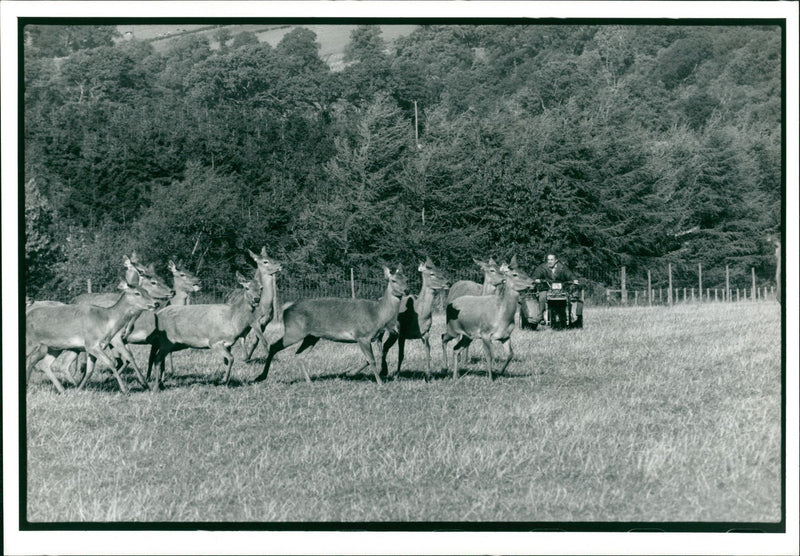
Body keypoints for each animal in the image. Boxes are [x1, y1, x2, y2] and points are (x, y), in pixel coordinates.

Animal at [25, 282, 157, 396]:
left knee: (45, 365)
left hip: (54, 347)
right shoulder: (92, 344)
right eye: (137, 293)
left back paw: (63, 390)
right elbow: (111, 363)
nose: (156, 303)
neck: (106, 323)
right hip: (31, 342)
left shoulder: (93, 347)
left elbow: (90, 370)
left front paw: (78, 389)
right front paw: (125, 390)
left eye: (146, 291)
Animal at [253, 264, 410, 386]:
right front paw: (380, 384)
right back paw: (260, 376)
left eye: (406, 279)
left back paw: (309, 381)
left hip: (311, 336)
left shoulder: (375, 337)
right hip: (294, 331)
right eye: (393, 280)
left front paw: (350, 373)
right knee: (274, 346)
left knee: (299, 355)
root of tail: (285, 309)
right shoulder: (362, 335)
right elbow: (371, 359)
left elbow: (376, 355)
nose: (406, 290)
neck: (378, 314)